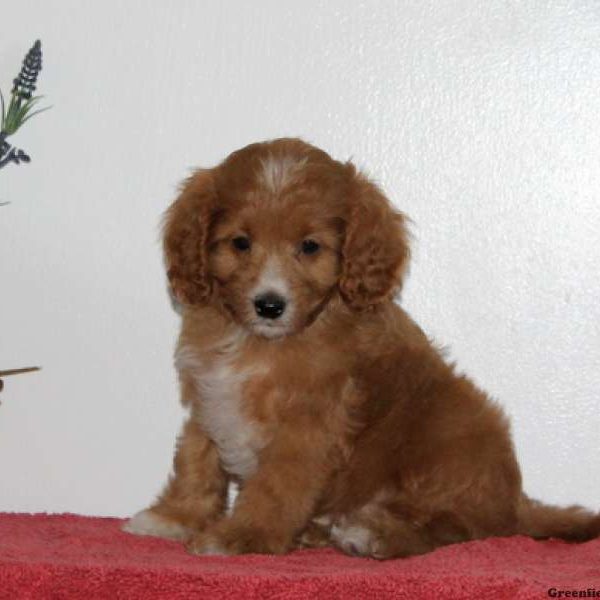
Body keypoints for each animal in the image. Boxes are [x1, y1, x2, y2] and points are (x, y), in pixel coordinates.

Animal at [124, 136, 596, 556]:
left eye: (309, 246)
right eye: (240, 243)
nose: (269, 305)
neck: (259, 343)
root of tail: (514, 502)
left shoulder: (309, 424)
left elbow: (276, 485)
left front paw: (243, 535)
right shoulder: (210, 394)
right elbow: (196, 461)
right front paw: (175, 517)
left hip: (448, 436)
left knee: (451, 527)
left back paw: (370, 533)